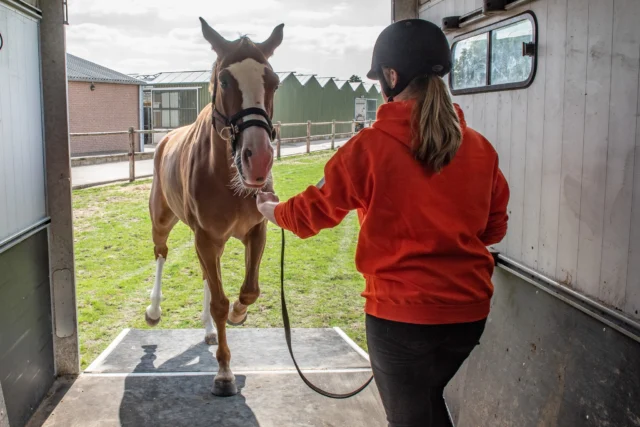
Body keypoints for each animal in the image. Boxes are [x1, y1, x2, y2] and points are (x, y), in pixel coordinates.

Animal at [145, 17, 284, 396]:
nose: (259, 159)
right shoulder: (205, 237)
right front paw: (224, 372)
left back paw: (208, 330)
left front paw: (239, 314)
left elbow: (248, 291)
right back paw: (154, 310)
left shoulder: (255, 231)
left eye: (274, 82)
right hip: (163, 221)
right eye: (224, 80)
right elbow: (219, 301)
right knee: (161, 253)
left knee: (208, 275)